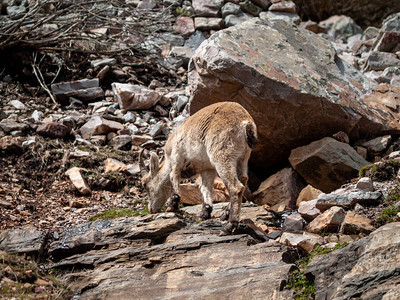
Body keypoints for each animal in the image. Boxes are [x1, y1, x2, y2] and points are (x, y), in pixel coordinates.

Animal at [141, 102, 258, 233]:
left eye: (145, 184)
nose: (151, 209)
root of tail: (246, 123)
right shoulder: (207, 169)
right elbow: (205, 188)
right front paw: (205, 213)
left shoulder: (176, 156)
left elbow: (173, 176)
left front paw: (172, 204)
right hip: (243, 158)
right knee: (243, 179)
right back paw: (225, 214)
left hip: (222, 155)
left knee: (236, 187)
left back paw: (229, 226)